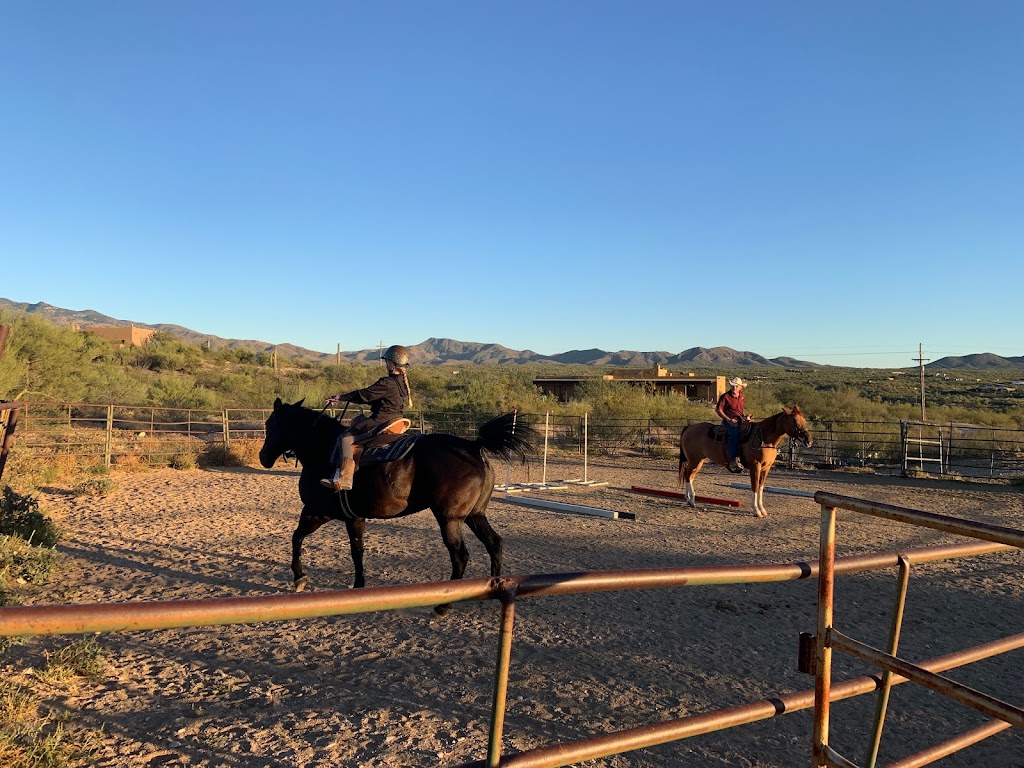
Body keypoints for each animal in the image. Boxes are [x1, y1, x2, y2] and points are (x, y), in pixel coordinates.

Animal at [258, 399, 536, 610]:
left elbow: (298, 538)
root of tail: (472, 445)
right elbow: (353, 550)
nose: (263, 457)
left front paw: (299, 577)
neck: (323, 451)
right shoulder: (352, 517)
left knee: (460, 556)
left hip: (450, 519)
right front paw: (357, 586)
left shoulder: (319, 513)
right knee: (494, 543)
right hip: (474, 515)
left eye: (270, 424)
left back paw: (444, 606)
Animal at [675, 405, 811, 520]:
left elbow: (761, 487)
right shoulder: (755, 466)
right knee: (688, 476)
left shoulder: (766, 468)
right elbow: (754, 486)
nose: (808, 441)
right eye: (795, 422)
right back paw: (692, 501)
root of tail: (689, 427)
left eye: (804, 420)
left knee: (689, 476)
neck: (763, 438)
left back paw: (688, 499)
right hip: (694, 460)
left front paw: (762, 509)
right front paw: (756, 511)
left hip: (699, 461)